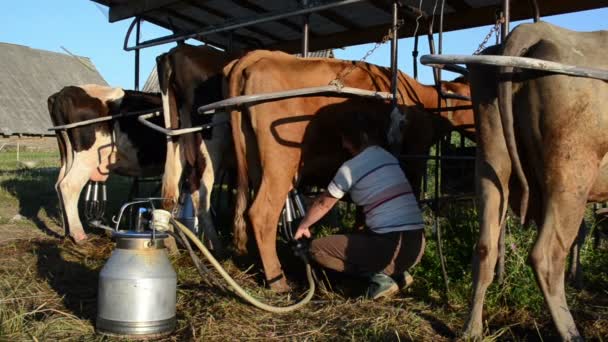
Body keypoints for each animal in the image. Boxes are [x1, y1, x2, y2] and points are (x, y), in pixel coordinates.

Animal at [47, 84, 165, 242]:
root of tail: (64, 91)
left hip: (67, 154)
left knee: (59, 183)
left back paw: (67, 232)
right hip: (87, 156)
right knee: (69, 184)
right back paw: (79, 234)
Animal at [226, 50, 472, 292]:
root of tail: (262, 56)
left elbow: (363, 217)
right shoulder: (413, 161)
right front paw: (398, 274)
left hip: (256, 161)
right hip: (280, 163)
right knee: (261, 213)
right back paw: (279, 282)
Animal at [464, 22, 604, 342]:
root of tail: (532, 28)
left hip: (492, 159)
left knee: (485, 245)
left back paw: (472, 329)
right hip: (571, 169)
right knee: (547, 255)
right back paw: (571, 332)